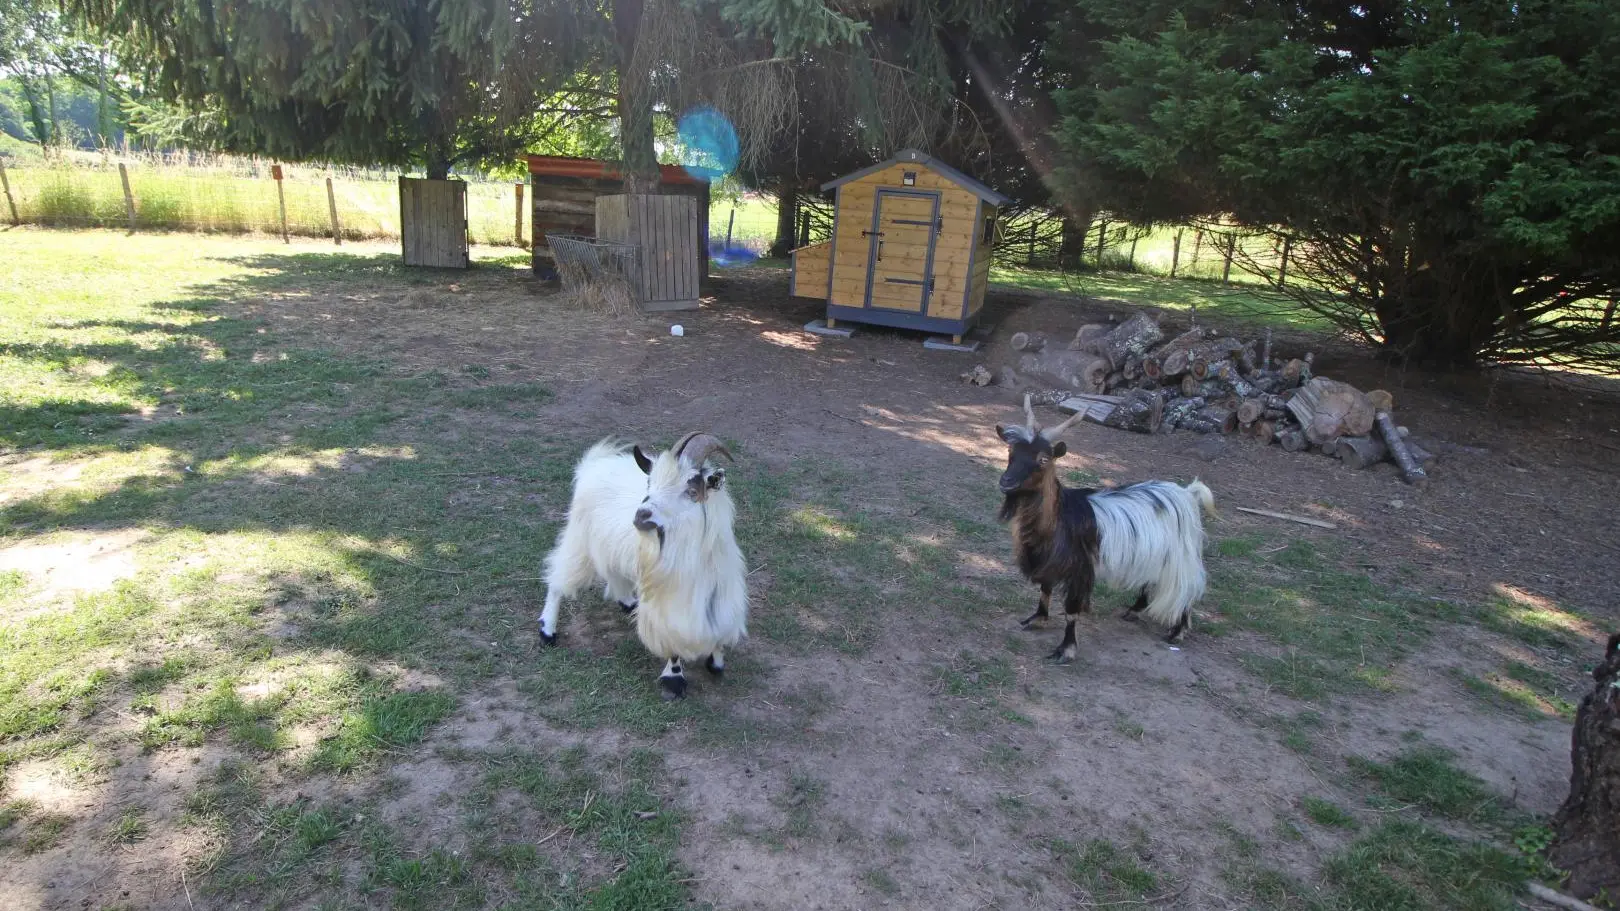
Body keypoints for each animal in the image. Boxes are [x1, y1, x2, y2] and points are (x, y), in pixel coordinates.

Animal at [541, 431, 748, 693]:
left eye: (691, 489)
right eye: (649, 483)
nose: (641, 515)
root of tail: (593, 464)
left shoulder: (720, 593)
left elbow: (719, 629)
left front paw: (717, 661)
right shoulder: (665, 600)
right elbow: (669, 634)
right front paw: (673, 679)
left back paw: (627, 602)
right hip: (579, 540)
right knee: (558, 580)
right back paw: (547, 630)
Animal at [991, 392, 1211, 658]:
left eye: (1043, 459)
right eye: (1011, 450)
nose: (1007, 481)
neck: (1062, 517)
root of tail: (1188, 493)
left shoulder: (1079, 567)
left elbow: (1071, 611)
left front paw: (1066, 649)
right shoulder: (1048, 560)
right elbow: (1045, 589)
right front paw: (1037, 619)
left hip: (1181, 555)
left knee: (1187, 586)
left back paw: (1178, 630)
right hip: (1156, 553)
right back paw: (1134, 610)